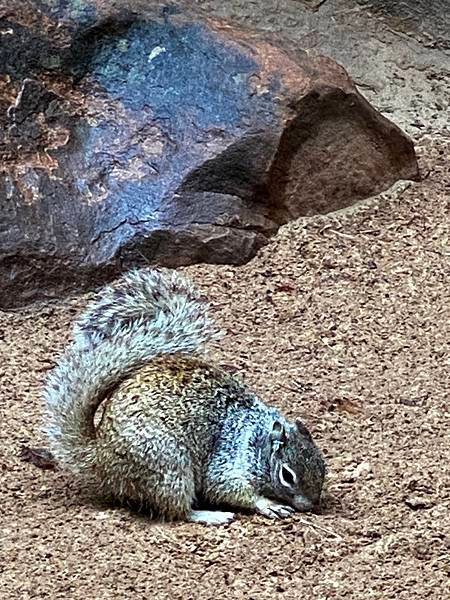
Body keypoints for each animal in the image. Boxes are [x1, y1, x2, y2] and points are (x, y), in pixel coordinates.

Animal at [44, 268, 326, 524]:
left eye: (323, 466)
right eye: (287, 475)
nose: (309, 506)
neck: (257, 438)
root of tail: (100, 458)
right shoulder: (228, 459)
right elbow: (225, 487)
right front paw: (268, 504)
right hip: (169, 467)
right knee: (176, 510)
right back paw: (210, 515)